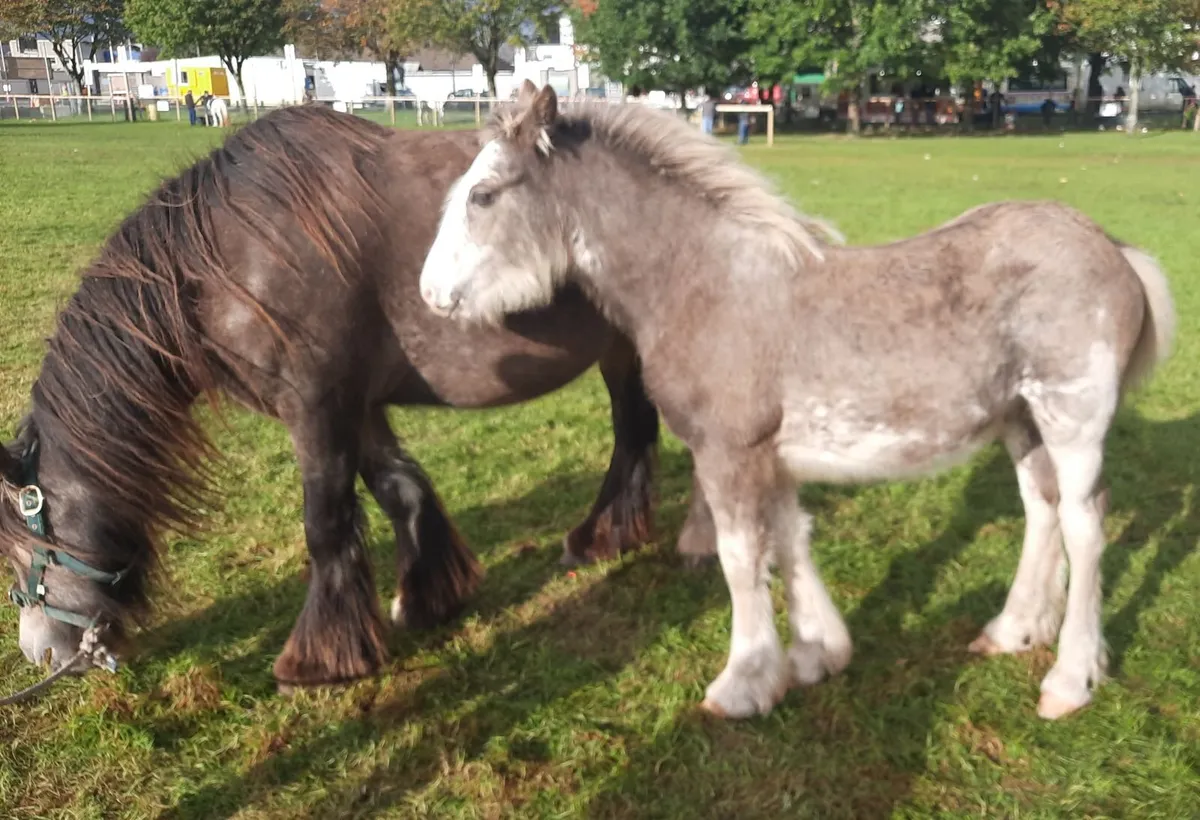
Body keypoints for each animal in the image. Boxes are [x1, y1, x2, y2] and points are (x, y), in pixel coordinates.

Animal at [0, 104, 664, 689]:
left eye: (22, 543)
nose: (40, 652)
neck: (228, 259)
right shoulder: (357, 406)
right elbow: (401, 490)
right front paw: (428, 598)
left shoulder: (315, 407)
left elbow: (324, 524)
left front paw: (320, 658)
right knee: (634, 432)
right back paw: (609, 535)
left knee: (634, 430)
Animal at [417, 81, 1176, 721]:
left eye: (484, 195)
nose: (429, 293)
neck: (703, 284)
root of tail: (1112, 247)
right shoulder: (769, 456)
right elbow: (788, 539)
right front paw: (818, 654)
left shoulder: (728, 454)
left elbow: (740, 557)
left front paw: (743, 682)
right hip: (1021, 420)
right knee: (1040, 509)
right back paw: (1015, 630)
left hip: (1073, 419)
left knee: (1084, 523)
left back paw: (1070, 679)